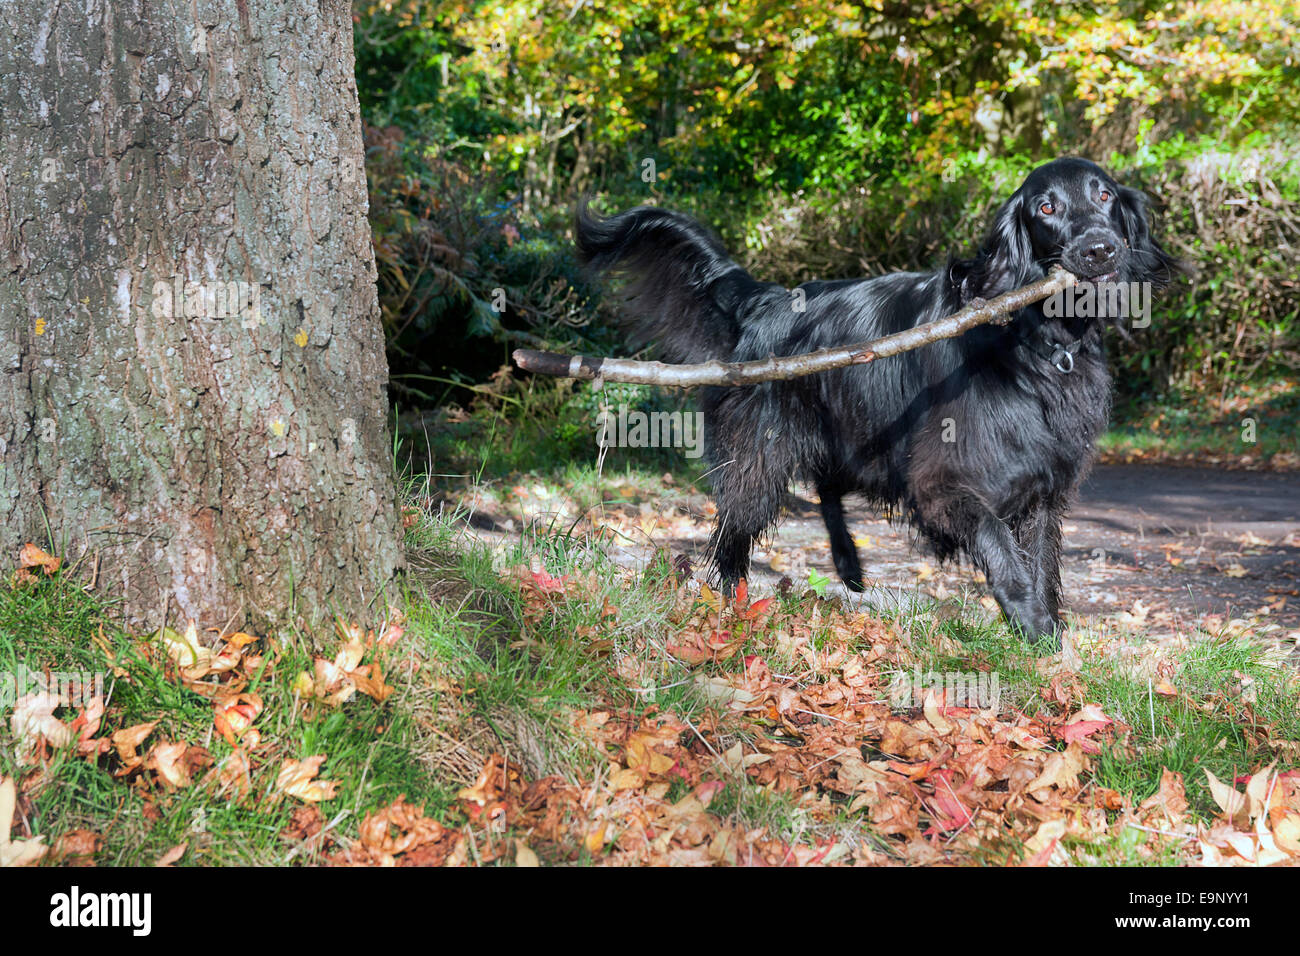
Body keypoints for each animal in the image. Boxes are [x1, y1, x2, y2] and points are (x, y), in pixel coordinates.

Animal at [579, 158, 1180, 650]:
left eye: (1105, 195)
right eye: (1046, 207)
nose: (1101, 249)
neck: (1035, 341)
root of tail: (765, 299)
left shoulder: (1043, 490)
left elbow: (1042, 566)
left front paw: (1049, 634)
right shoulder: (943, 482)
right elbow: (1002, 551)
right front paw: (1033, 629)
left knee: (824, 491)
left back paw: (848, 565)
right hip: (758, 460)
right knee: (731, 542)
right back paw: (731, 610)